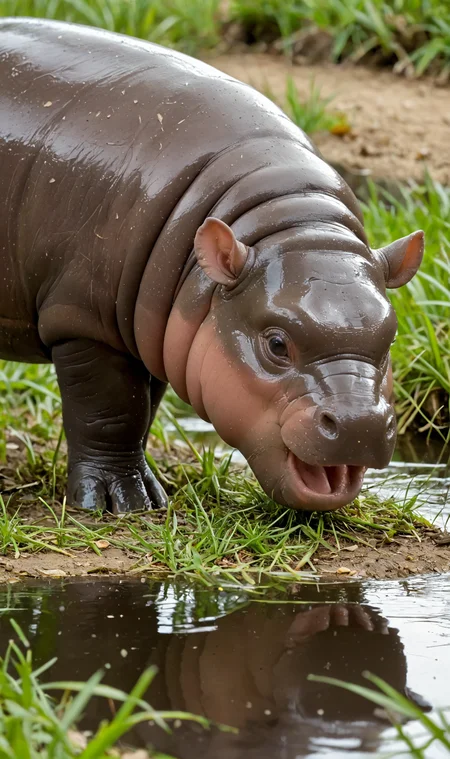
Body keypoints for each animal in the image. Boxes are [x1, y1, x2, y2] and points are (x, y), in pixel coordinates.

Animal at [0, 18, 424, 514]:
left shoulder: (146, 331)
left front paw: (149, 492)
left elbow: (141, 410)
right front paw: (120, 502)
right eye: (276, 344)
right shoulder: (84, 322)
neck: (286, 219)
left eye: (391, 336)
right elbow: (109, 413)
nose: (361, 425)